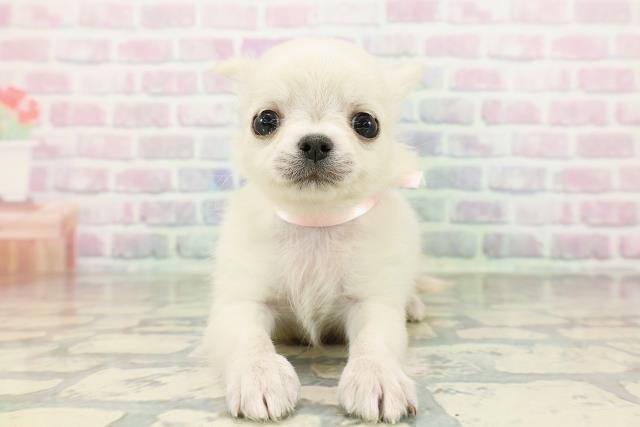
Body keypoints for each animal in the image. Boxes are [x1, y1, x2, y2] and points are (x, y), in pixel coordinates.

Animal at [205, 38, 426, 423]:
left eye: (366, 124)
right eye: (264, 121)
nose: (315, 142)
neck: (315, 222)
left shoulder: (370, 303)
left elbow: (376, 341)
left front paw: (378, 376)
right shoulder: (242, 304)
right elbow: (249, 339)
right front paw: (259, 375)